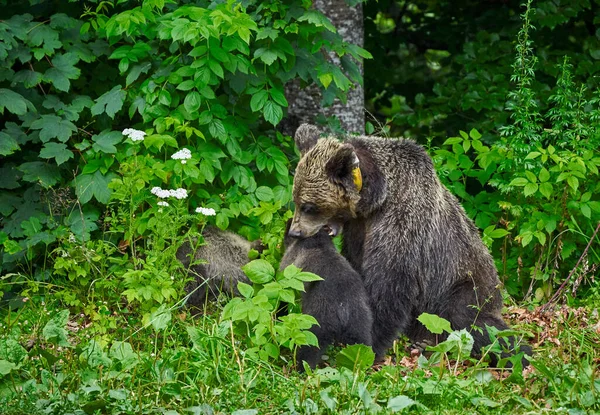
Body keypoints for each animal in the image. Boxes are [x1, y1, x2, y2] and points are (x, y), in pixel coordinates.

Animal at [290, 123, 528, 364]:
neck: (375, 197)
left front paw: (371, 344)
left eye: (309, 206)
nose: (294, 232)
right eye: (296, 200)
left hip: (465, 284)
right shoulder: (359, 229)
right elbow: (356, 265)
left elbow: (390, 283)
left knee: (472, 322)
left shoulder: (403, 221)